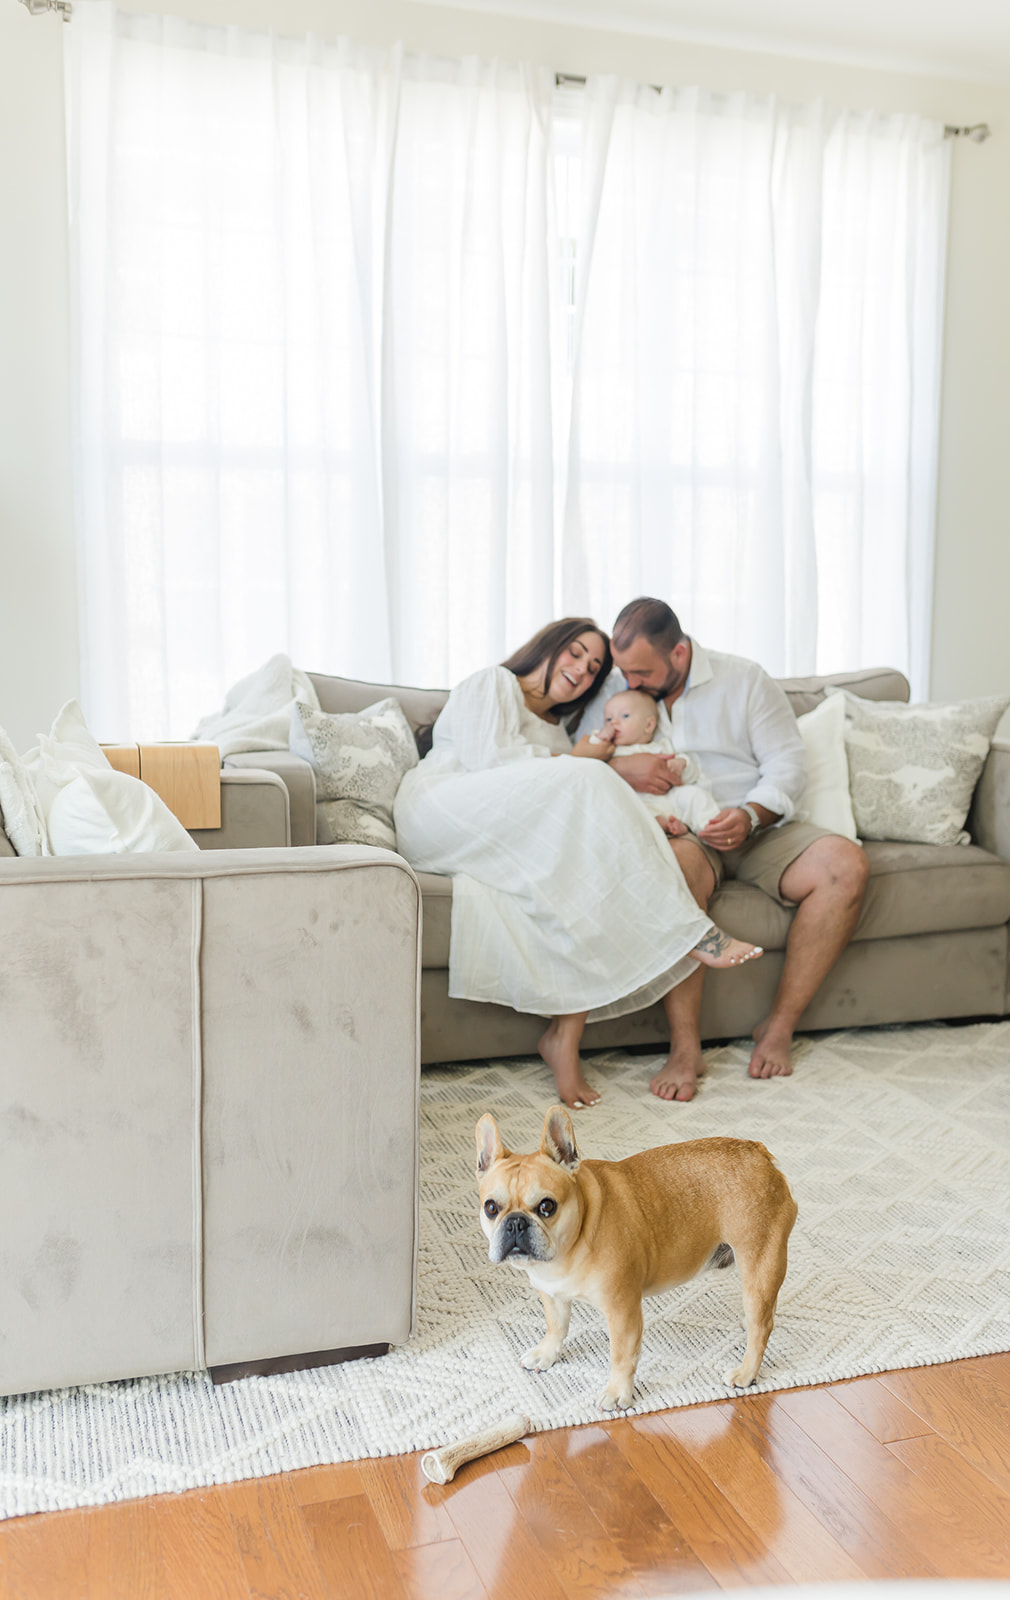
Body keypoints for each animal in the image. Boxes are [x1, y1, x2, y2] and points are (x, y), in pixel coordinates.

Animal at [473, 1107, 797, 1408]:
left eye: (546, 1206)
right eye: (491, 1208)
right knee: (766, 1312)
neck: (570, 1246)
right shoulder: (552, 1295)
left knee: (762, 1327)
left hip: (759, 1261)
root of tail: (759, 1153)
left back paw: (746, 1372)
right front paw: (546, 1353)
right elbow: (556, 1327)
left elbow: (621, 1354)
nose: (515, 1223)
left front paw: (618, 1393)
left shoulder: (622, 1310)